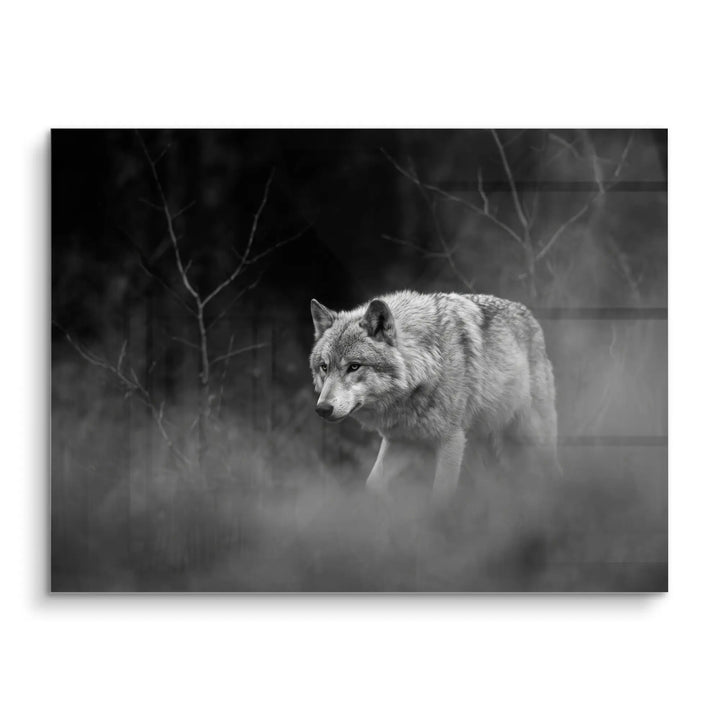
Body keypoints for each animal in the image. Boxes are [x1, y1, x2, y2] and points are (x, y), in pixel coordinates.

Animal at [309, 290, 559, 501]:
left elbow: (441, 495)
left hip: (532, 436)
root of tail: (529, 314)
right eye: (324, 367)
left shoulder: (451, 441)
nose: (322, 409)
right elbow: (373, 484)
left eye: (354, 366)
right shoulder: (400, 440)